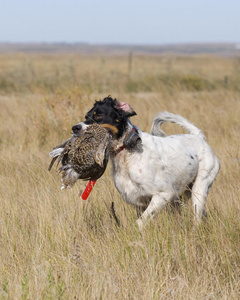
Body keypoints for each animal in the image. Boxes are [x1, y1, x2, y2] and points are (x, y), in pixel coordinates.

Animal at [69, 97, 219, 229]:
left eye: (99, 115)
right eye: (87, 115)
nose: (75, 128)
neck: (128, 152)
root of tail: (198, 137)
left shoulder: (163, 194)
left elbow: (140, 222)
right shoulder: (139, 201)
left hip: (199, 188)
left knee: (197, 216)